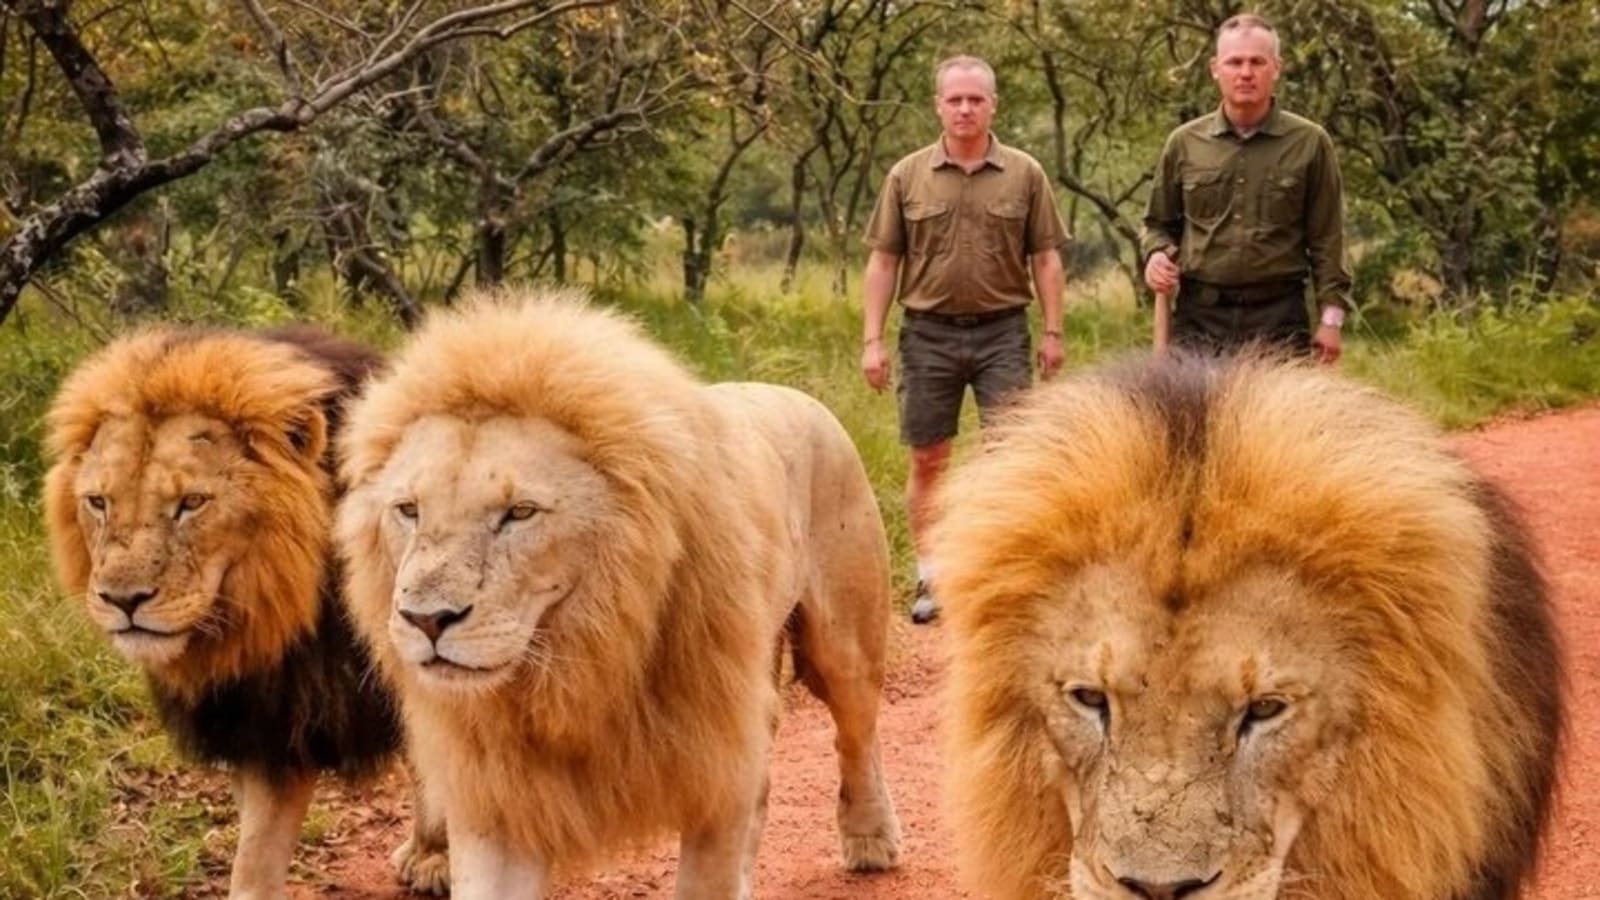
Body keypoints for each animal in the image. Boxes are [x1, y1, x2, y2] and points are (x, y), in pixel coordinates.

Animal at [335, 289, 902, 899]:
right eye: (409, 510)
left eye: (520, 513)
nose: (426, 619)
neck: (582, 657)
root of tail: (797, 395)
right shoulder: (500, 797)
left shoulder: (717, 764)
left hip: (845, 642)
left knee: (857, 736)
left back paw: (872, 839)